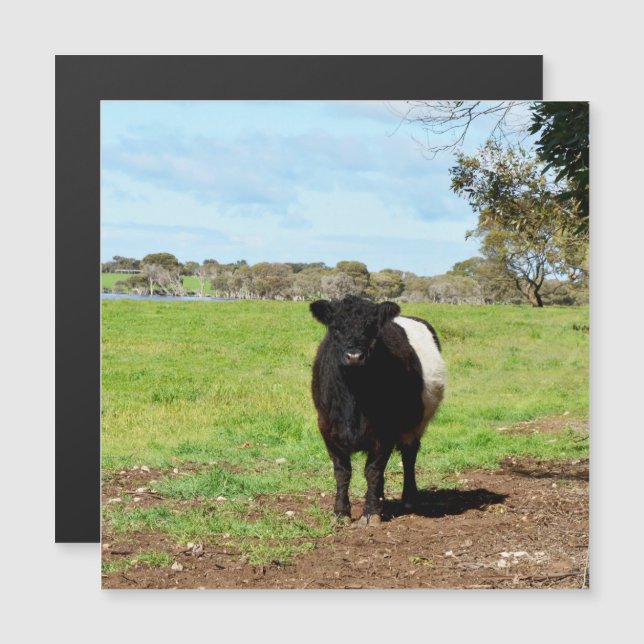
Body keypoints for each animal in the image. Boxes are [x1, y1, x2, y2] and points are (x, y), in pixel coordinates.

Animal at [310, 295, 446, 526]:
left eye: (372, 328)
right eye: (336, 327)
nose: (354, 356)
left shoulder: (385, 431)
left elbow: (372, 471)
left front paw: (371, 513)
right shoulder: (327, 427)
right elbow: (342, 471)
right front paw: (341, 512)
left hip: (417, 423)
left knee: (408, 456)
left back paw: (408, 499)